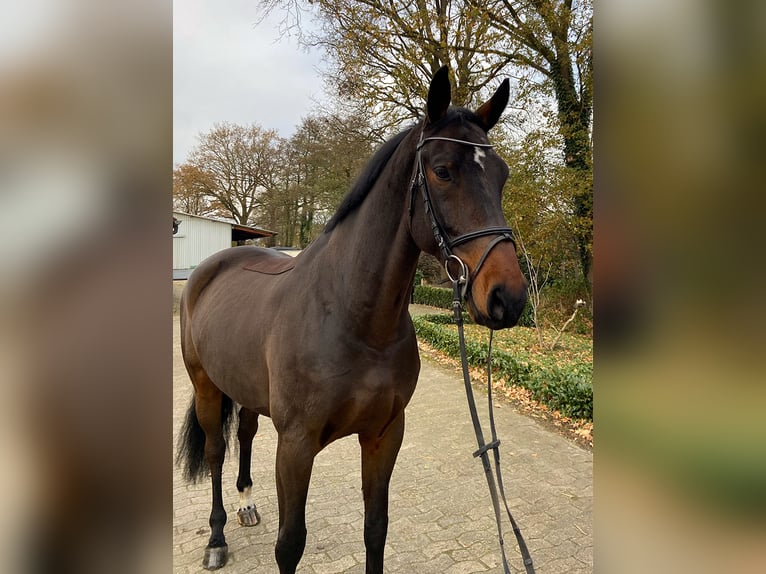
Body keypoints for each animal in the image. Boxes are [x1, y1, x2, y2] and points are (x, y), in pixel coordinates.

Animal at [176, 66, 528, 573]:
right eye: (443, 171)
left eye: (502, 176)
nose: (508, 298)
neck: (354, 320)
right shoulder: (296, 445)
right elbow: (290, 544)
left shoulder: (384, 435)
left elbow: (375, 529)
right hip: (206, 386)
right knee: (216, 452)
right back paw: (217, 537)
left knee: (244, 433)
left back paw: (246, 503)